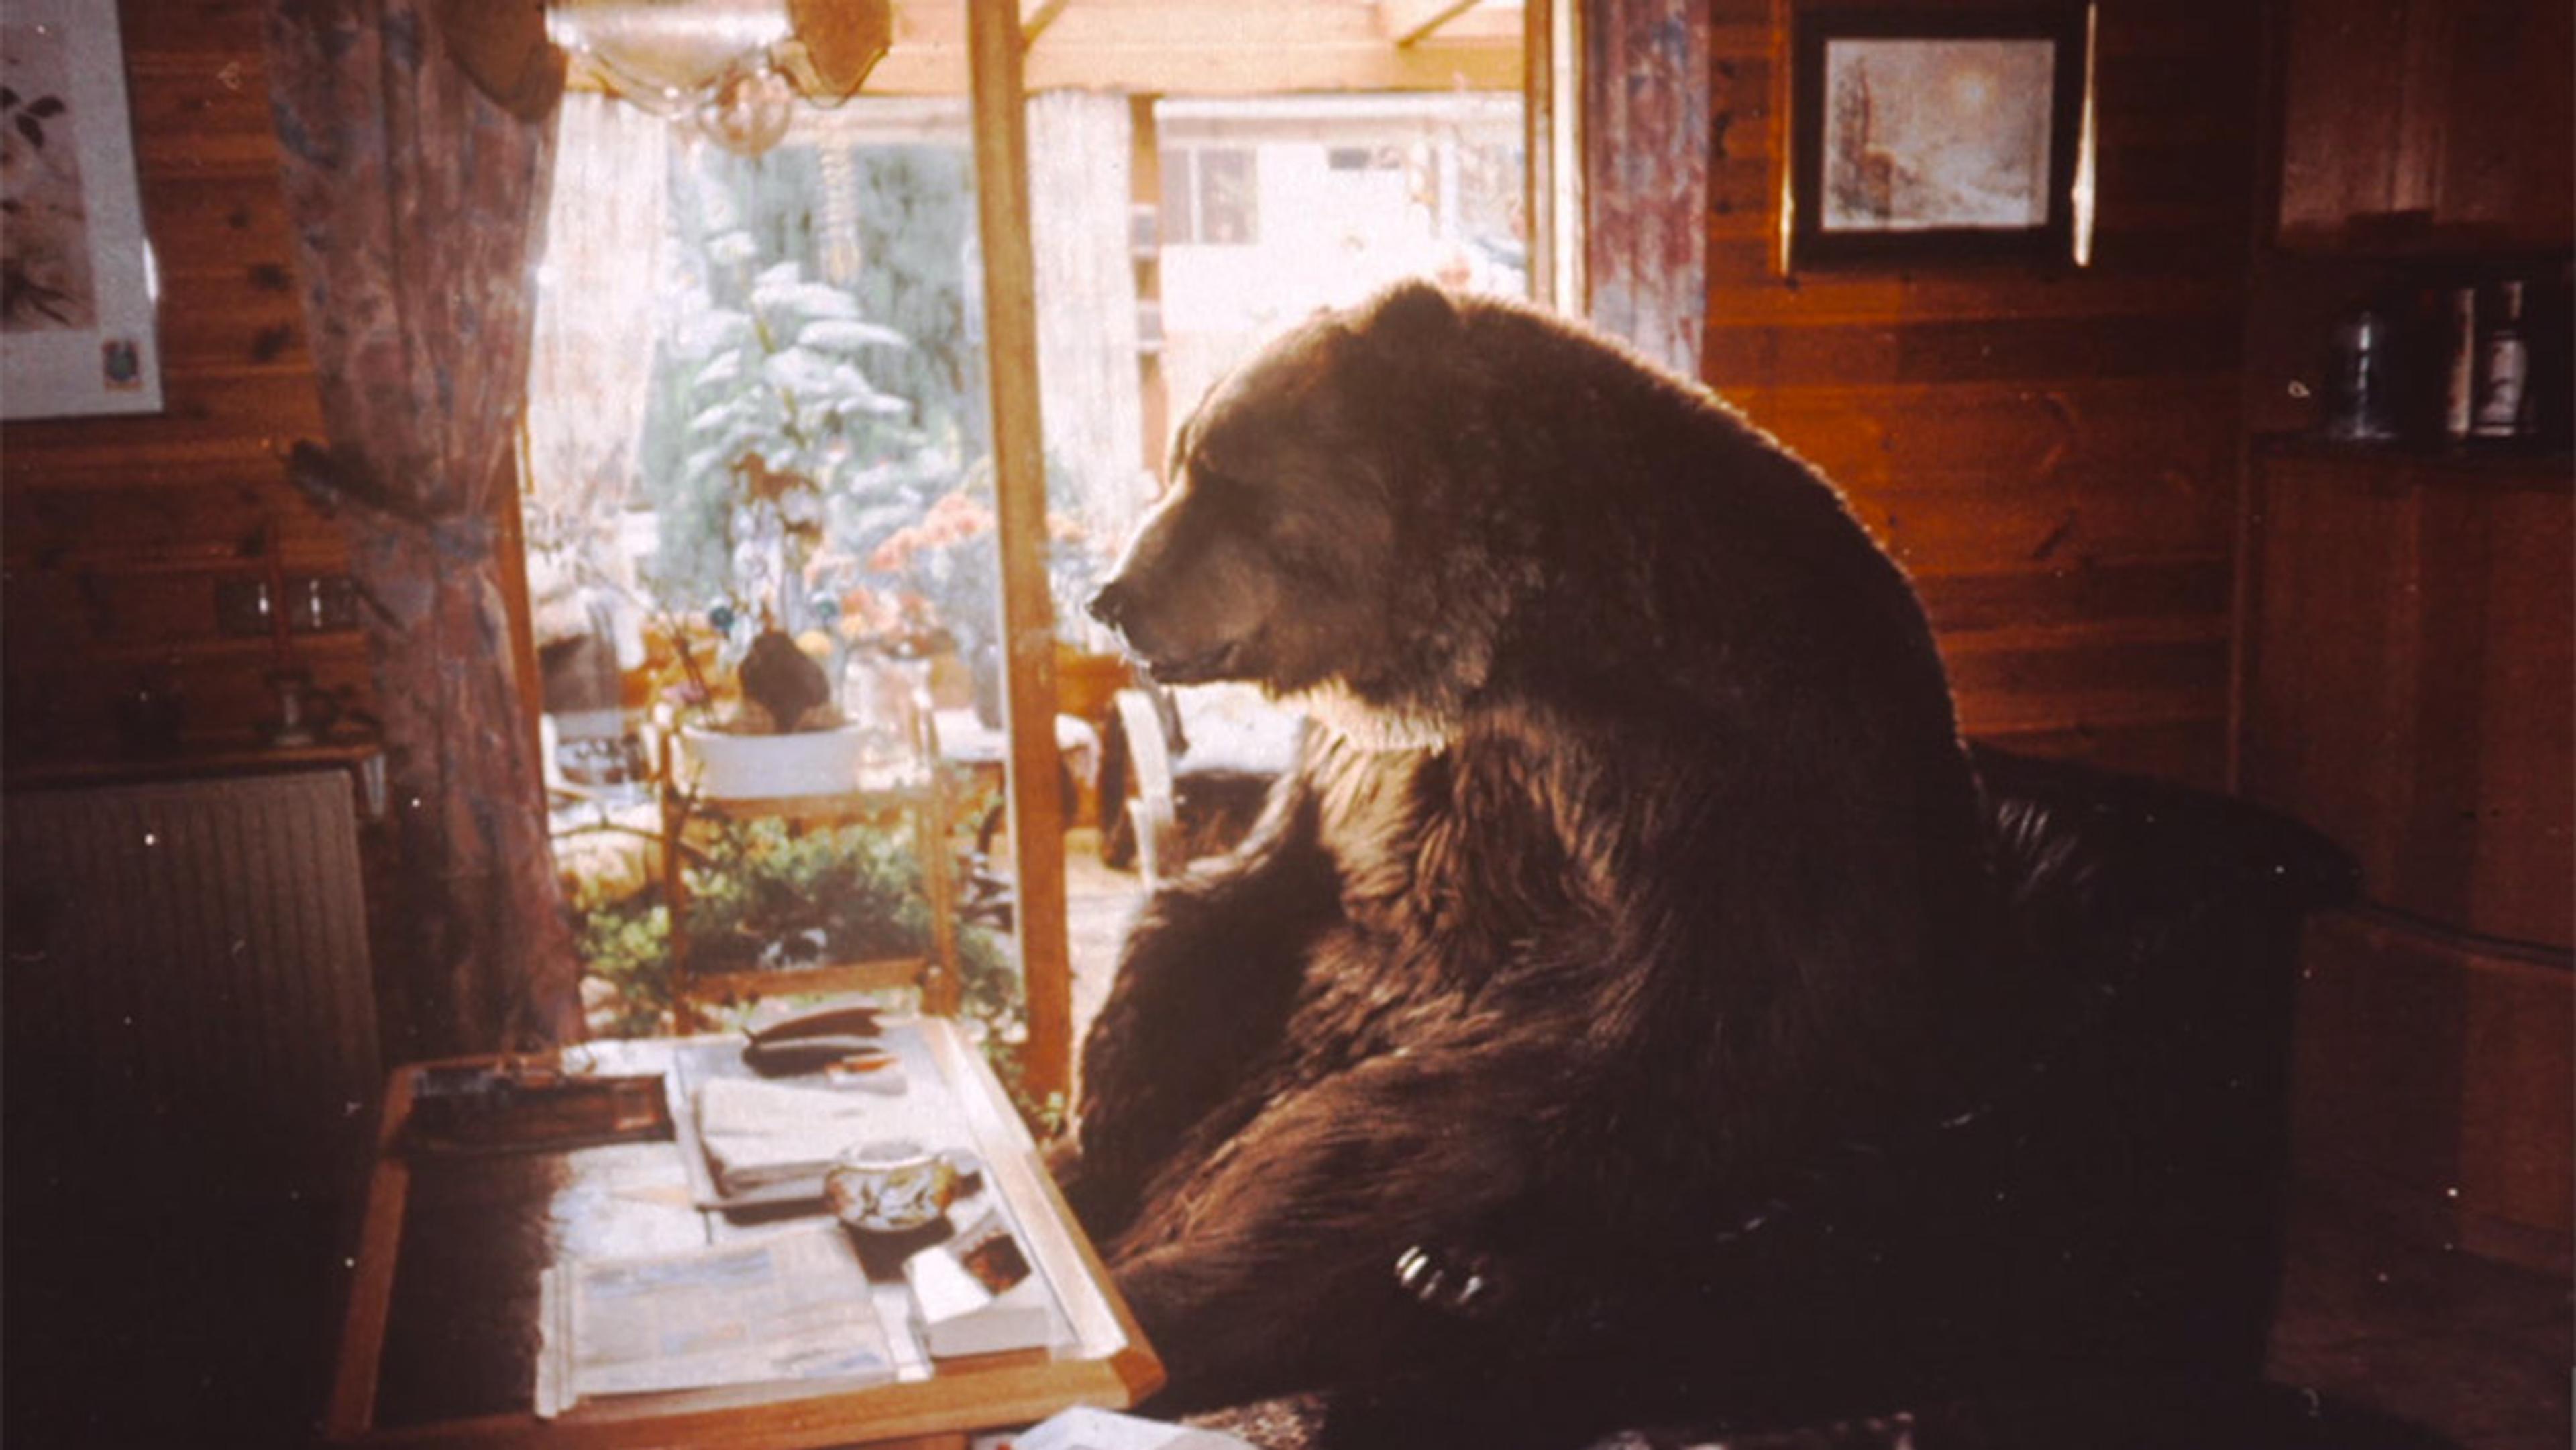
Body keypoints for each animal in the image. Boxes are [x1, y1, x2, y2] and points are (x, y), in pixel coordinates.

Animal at [1056, 280, 2029, 1447]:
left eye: (1224, 476)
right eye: (1187, 461)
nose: (1110, 594)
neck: (1500, 645)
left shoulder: (1734, 772)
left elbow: (1720, 1029)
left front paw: (1472, 1264)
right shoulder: (1363, 773)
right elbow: (1241, 900)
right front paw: (1102, 1100)